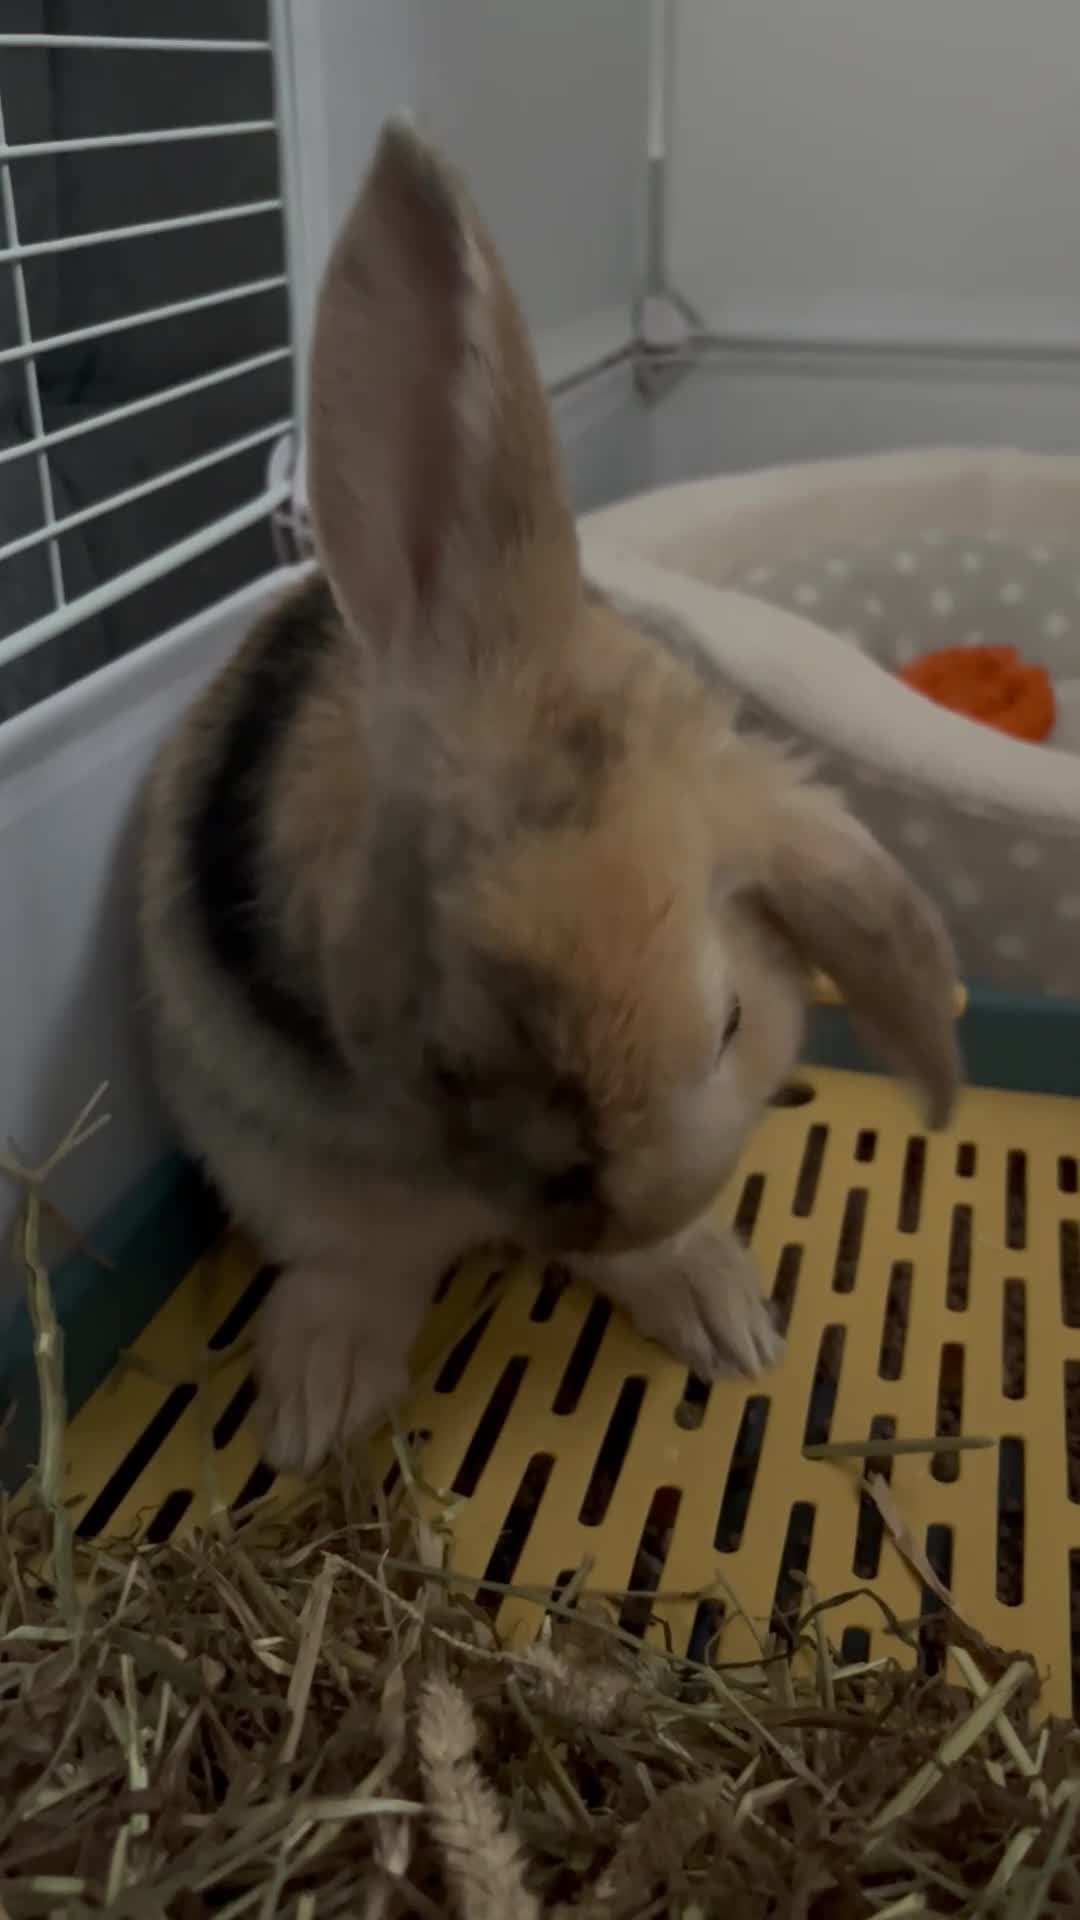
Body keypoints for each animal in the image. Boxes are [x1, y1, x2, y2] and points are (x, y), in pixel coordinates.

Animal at [138, 121, 961, 1477]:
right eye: (446, 1020)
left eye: (731, 1024)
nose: (608, 1208)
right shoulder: (277, 1152)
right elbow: (350, 1262)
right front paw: (314, 1418)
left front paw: (729, 1323)